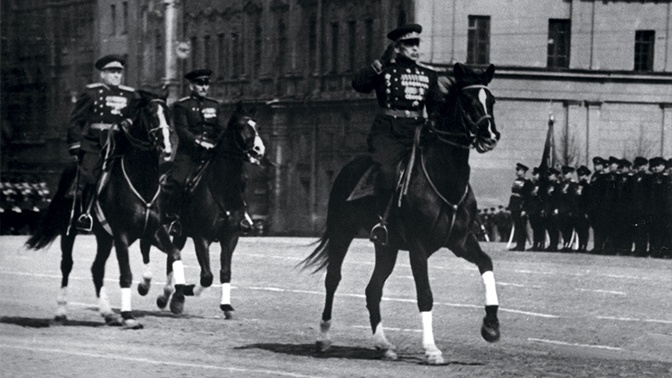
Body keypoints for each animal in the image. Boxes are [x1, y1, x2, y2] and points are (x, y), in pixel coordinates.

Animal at [25, 91, 188, 328]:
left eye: (167, 113)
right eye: (150, 114)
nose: (167, 146)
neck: (142, 181)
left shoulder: (154, 231)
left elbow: (174, 254)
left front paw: (176, 296)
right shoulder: (121, 235)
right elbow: (126, 274)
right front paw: (128, 316)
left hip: (104, 237)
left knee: (96, 268)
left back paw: (108, 313)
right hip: (70, 231)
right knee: (67, 265)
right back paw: (62, 311)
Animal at [148, 102, 266, 318]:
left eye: (257, 126)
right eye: (240, 127)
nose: (258, 150)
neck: (222, 189)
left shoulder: (230, 237)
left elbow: (225, 272)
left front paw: (226, 306)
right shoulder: (201, 237)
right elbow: (207, 276)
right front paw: (185, 291)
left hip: (180, 233)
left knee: (172, 256)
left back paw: (169, 296)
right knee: (172, 256)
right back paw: (172, 294)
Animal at [302, 63, 502, 364]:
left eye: (491, 100)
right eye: (467, 101)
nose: (490, 136)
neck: (444, 178)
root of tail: (348, 168)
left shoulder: (461, 242)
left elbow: (486, 264)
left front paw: (491, 325)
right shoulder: (418, 247)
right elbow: (425, 295)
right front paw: (431, 349)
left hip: (387, 247)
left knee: (373, 289)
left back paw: (383, 344)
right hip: (341, 234)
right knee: (333, 280)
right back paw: (324, 338)